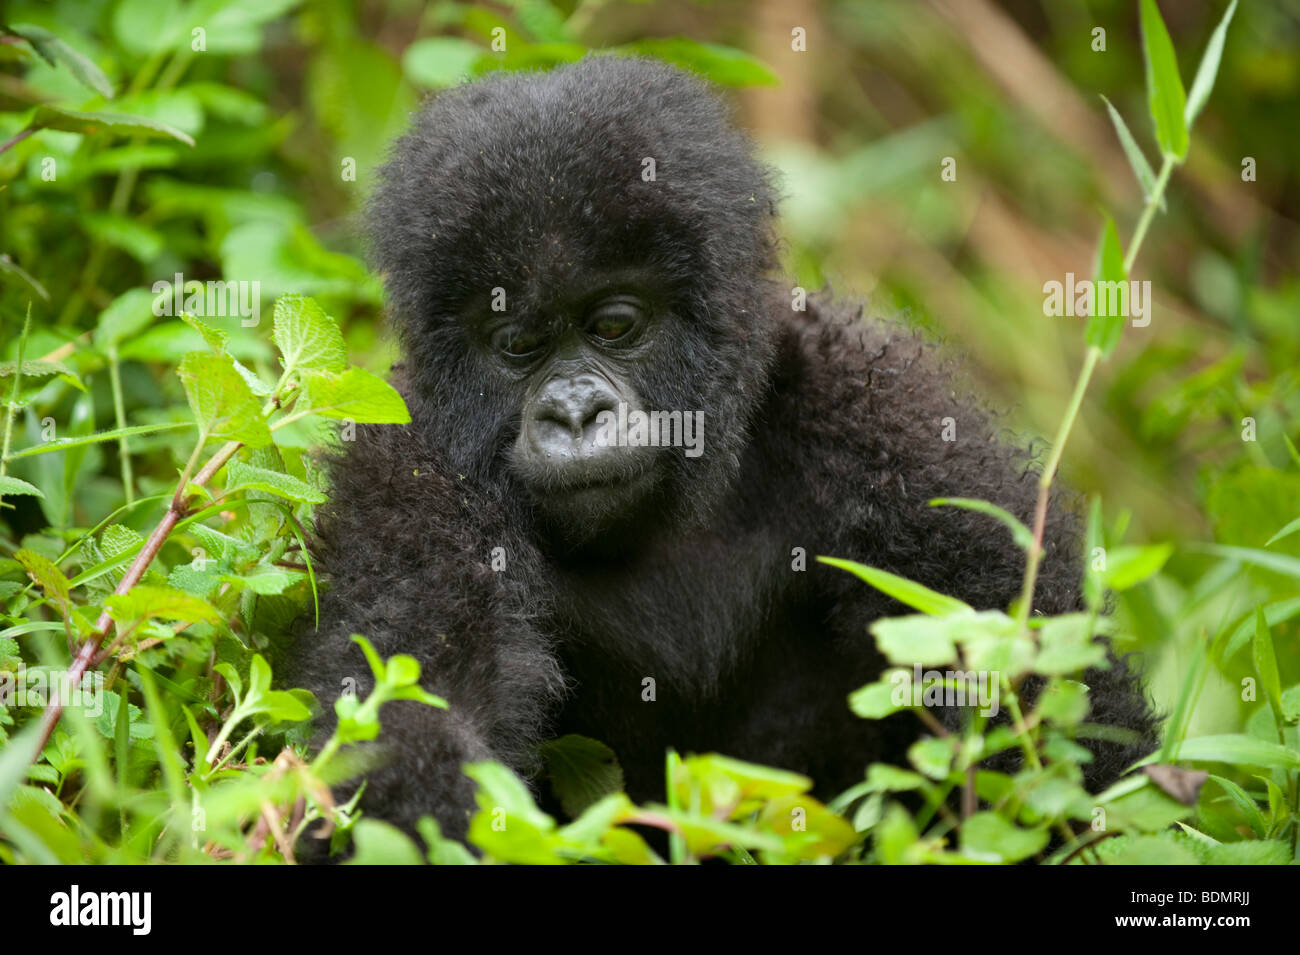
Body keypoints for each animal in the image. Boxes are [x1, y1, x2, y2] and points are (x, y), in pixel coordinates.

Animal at [284, 54, 1159, 841]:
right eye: (519, 344)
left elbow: (1048, 689)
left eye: (615, 324)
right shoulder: (412, 466)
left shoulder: (888, 413)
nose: (574, 412)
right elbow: (405, 707)